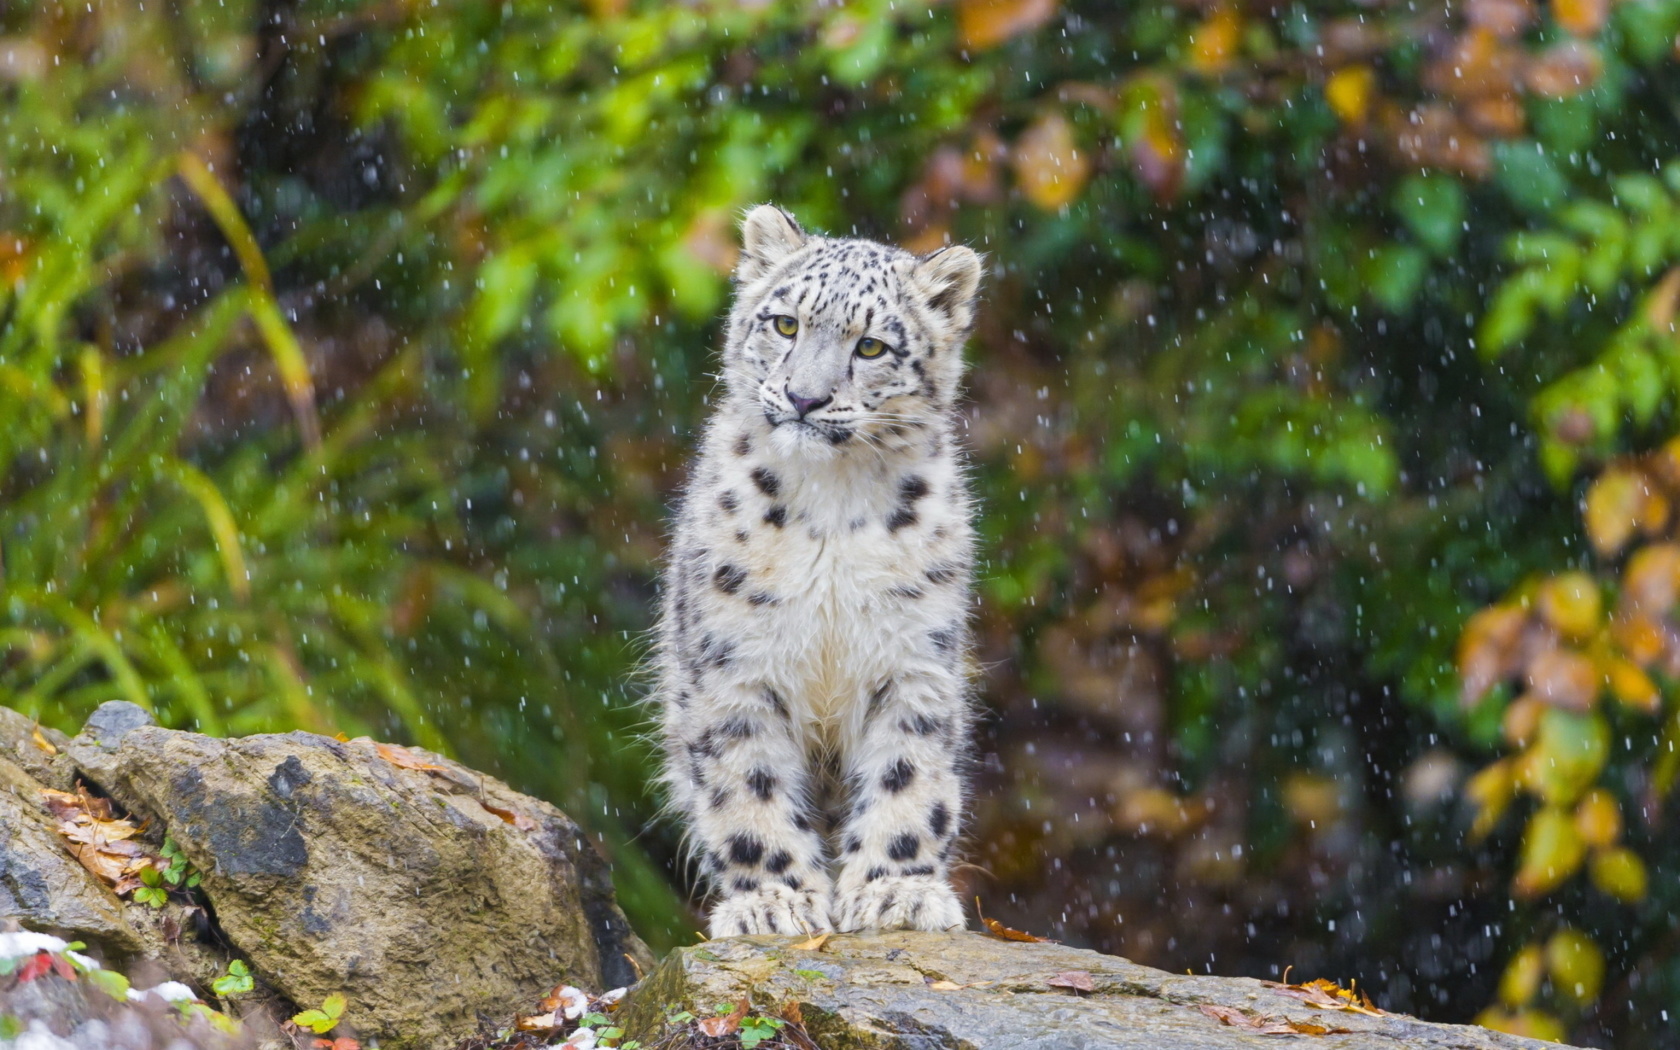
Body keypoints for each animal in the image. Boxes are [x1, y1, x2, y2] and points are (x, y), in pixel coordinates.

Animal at [655, 204, 981, 934]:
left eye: (872, 348)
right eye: (785, 324)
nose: (804, 398)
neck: (832, 503)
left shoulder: (913, 660)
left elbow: (908, 774)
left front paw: (896, 890)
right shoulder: (734, 664)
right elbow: (746, 783)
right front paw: (772, 901)